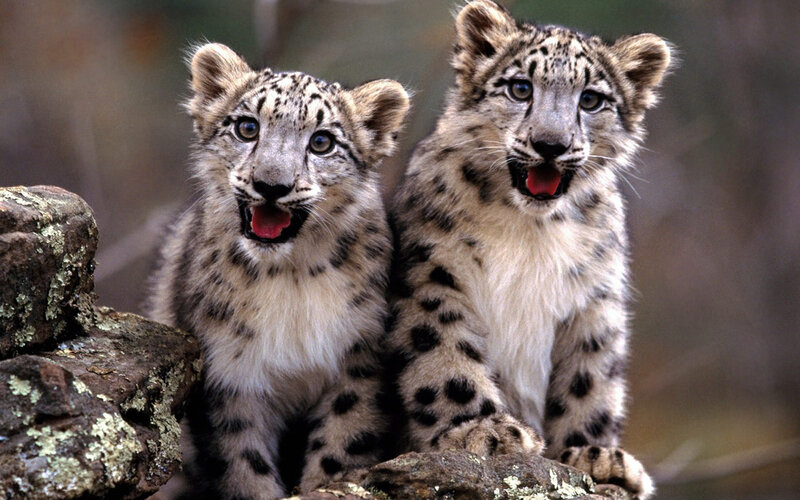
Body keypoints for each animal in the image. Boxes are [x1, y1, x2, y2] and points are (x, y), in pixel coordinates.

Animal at [146, 42, 409, 500]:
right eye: (247, 127)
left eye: (322, 142)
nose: (271, 185)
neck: (291, 277)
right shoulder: (229, 374)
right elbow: (243, 463)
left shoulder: (359, 359)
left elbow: (343, 441)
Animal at [385, 1, 673, 498]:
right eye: (520, 88)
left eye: (591, 99)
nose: (550, 144)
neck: (531, 230)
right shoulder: (432, 273)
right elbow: (443, 352)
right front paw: (482, 431)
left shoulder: (595, 298)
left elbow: (589, 378)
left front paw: (594, 455)